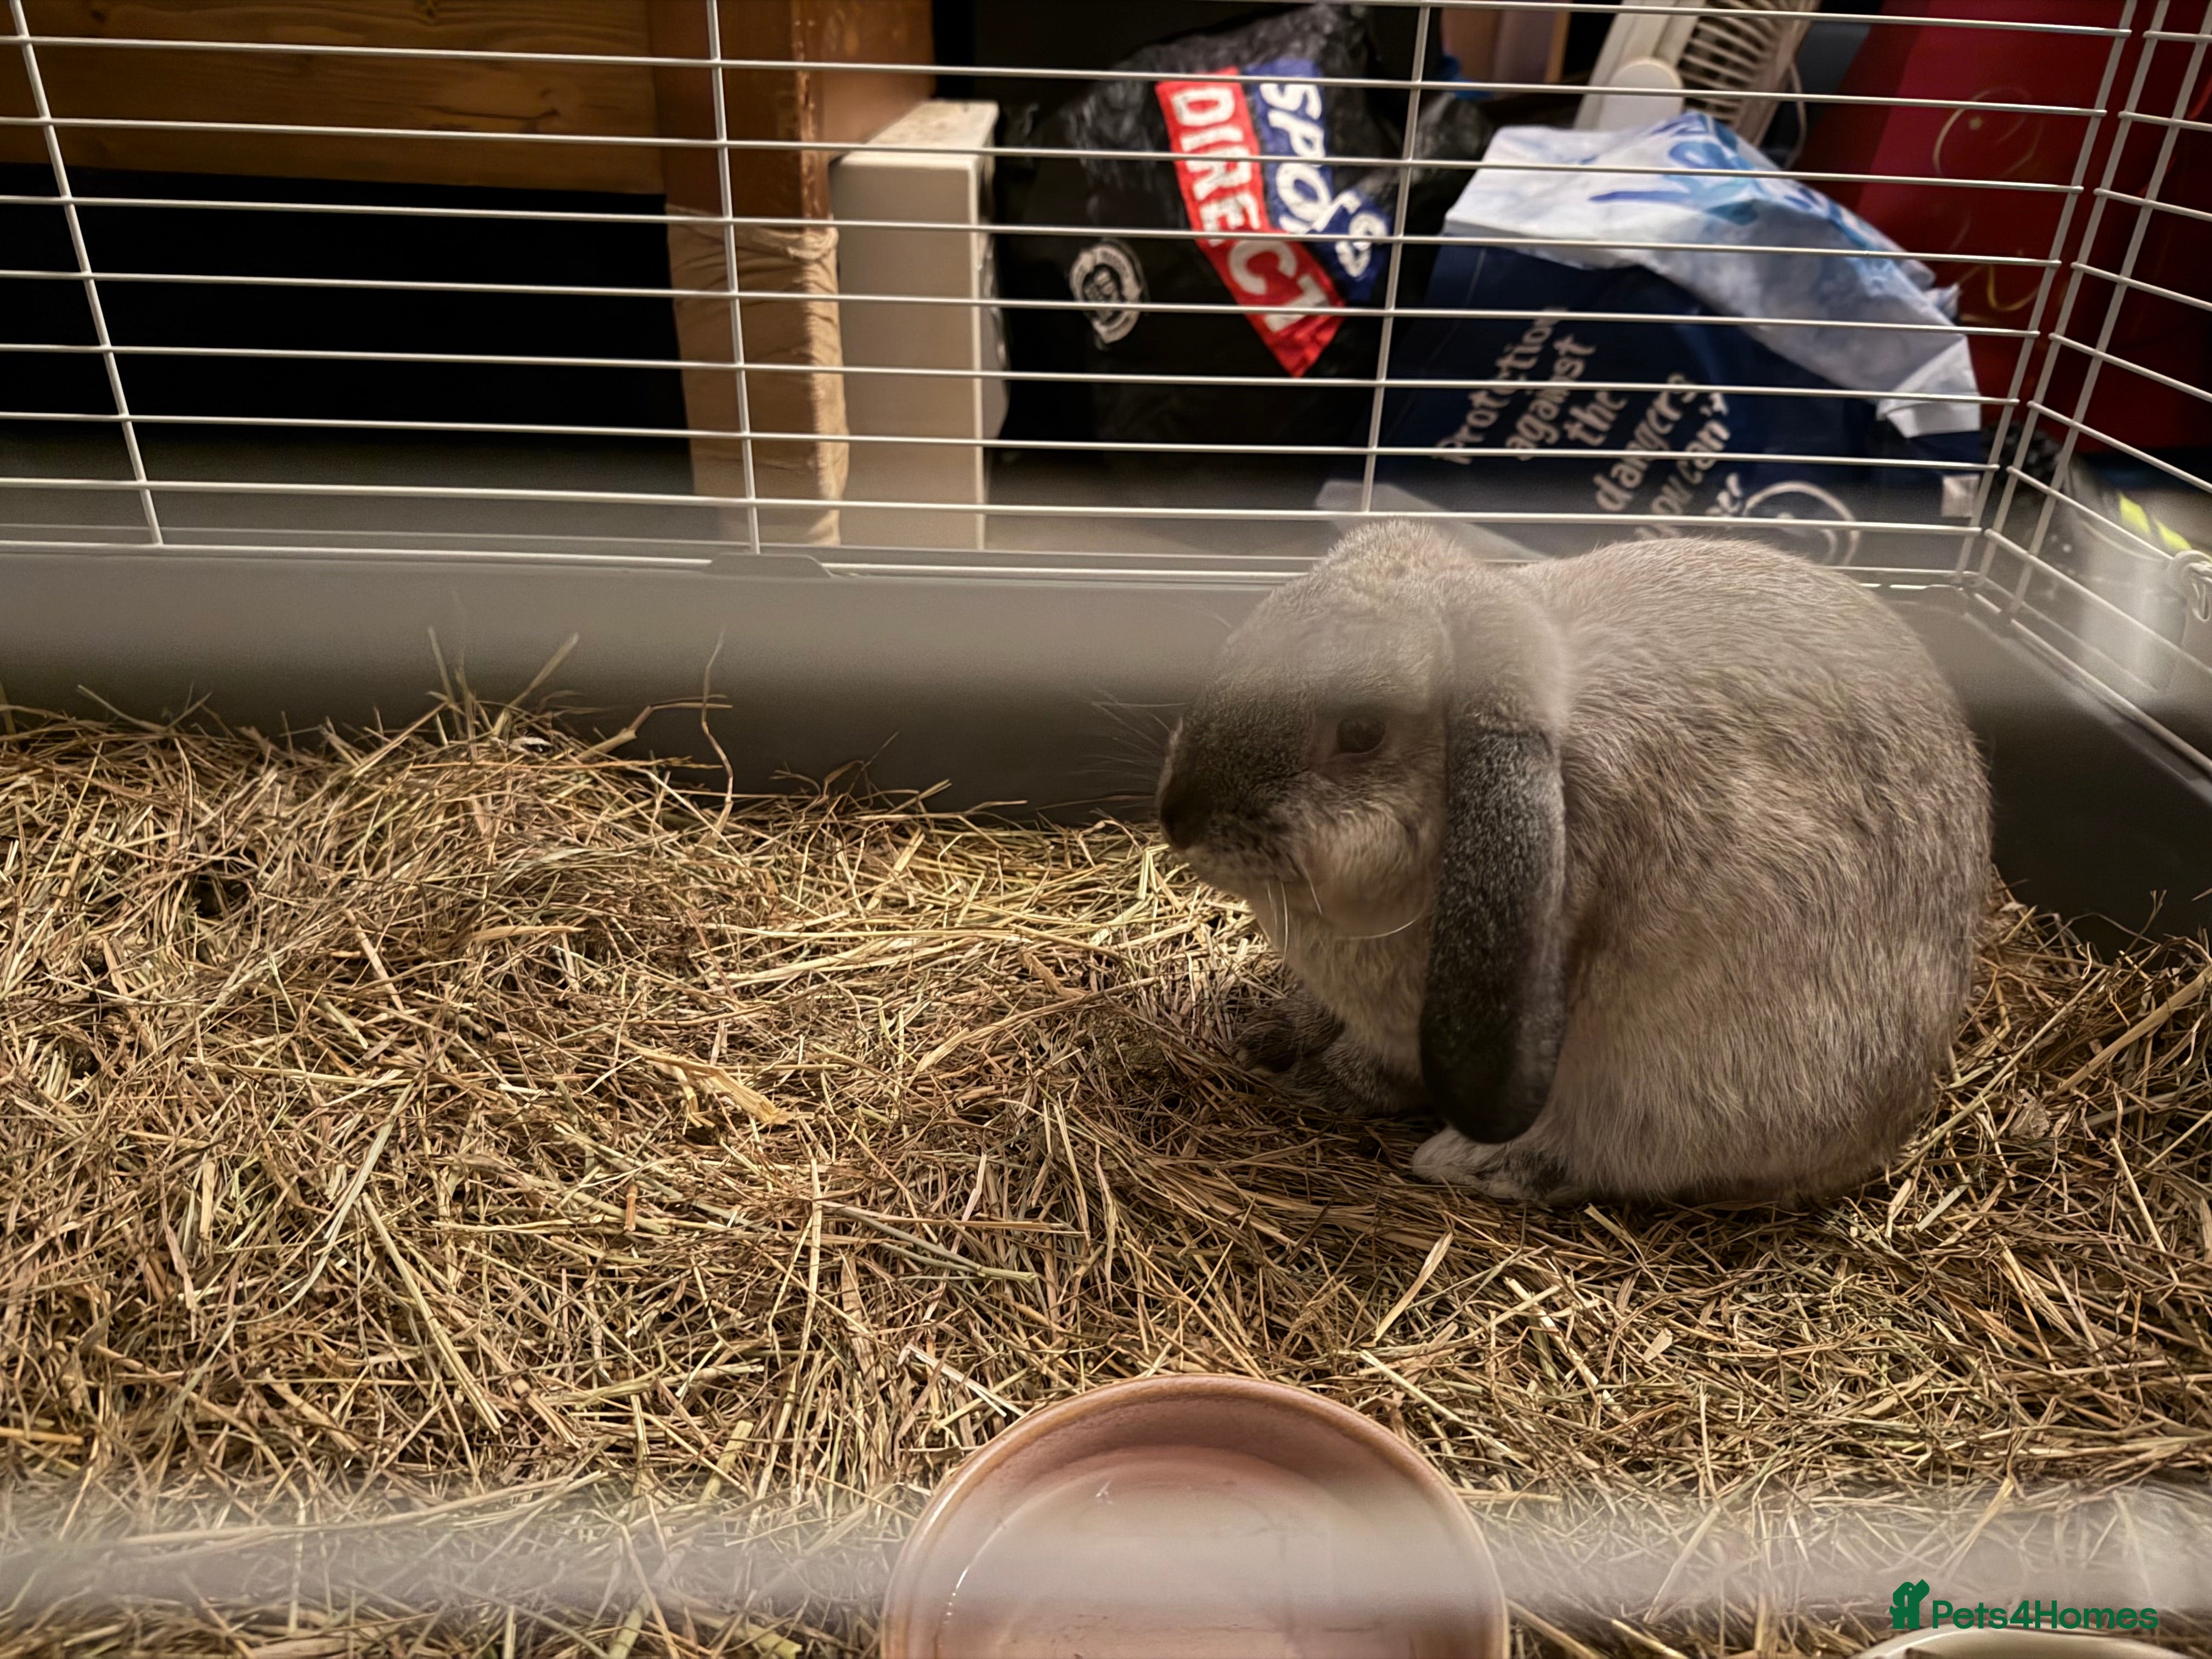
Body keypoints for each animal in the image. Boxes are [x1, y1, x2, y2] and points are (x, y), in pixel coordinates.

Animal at [1156, 520, 1991, 1206]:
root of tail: (1889, 1126)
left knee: (1612, 1159)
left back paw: (1474, 1163)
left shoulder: (1419, 1031)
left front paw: (1314, 1084)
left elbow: (1376, 1069)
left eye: (1362, 732)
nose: (1177, 817)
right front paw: (1262, 1033)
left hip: (1685, 1085)